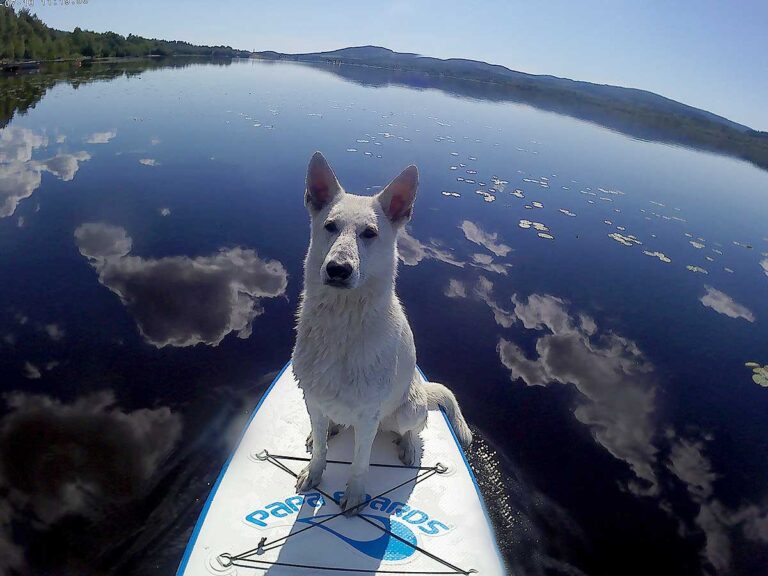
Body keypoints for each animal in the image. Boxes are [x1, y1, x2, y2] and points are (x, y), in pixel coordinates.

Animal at [294, 151, 474, 516]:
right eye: (329, 226)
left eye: (370, 233)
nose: (337, 269)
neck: (341, 323)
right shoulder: (312, 398)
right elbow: (320, 451)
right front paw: (314, 472)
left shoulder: (367, 417)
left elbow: (360, 464)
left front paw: (354, 496)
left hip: (407, 411)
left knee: (418, 427)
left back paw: (409, 447)